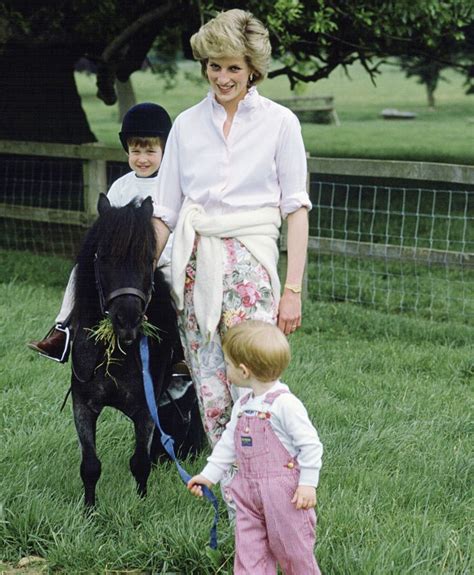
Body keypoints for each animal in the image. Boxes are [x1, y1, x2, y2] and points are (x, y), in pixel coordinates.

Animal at [69, 195, 203, 508]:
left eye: (147, 259)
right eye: (103, 257)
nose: (127, 320)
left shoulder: (144, 410)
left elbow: (139, 463)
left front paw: (141, 505)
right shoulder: (83, 406)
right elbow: (90, 465)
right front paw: (89, 510)